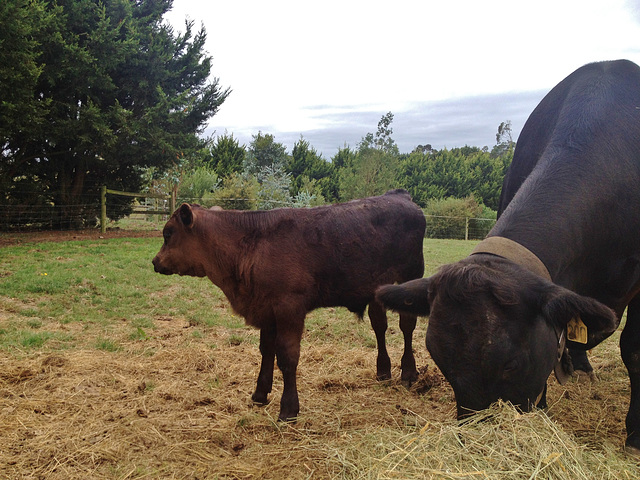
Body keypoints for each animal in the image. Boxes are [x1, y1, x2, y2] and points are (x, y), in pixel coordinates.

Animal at [152, 189, 428, 422]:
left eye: (168, 233)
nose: (155, 262)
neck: (251, 246)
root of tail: (399, 195)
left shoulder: (289, 307)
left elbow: (287, 355)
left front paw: (288, 409)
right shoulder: (266, 310)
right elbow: (266, 351)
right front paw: (260, 394)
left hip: (411, 276)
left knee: (407, 325)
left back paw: (408, 372)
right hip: (375, 287)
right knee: (379, 326)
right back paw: (383, 371)